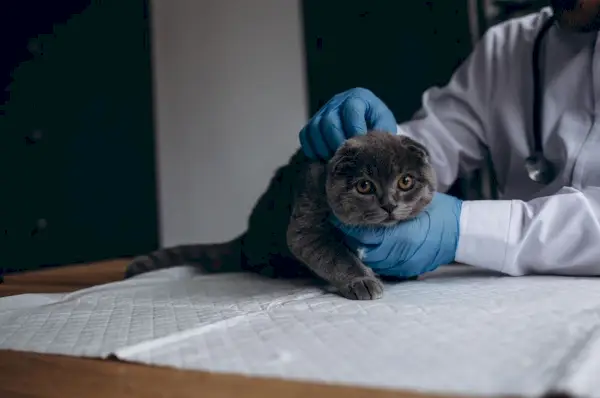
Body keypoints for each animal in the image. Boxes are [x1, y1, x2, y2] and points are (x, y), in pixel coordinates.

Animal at [125, 132, 436, 300]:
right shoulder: (307, 222)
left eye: (405, 181)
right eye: (364, 186)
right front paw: (362, 281)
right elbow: (336, 255)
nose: (389, 205)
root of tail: (245, 237)